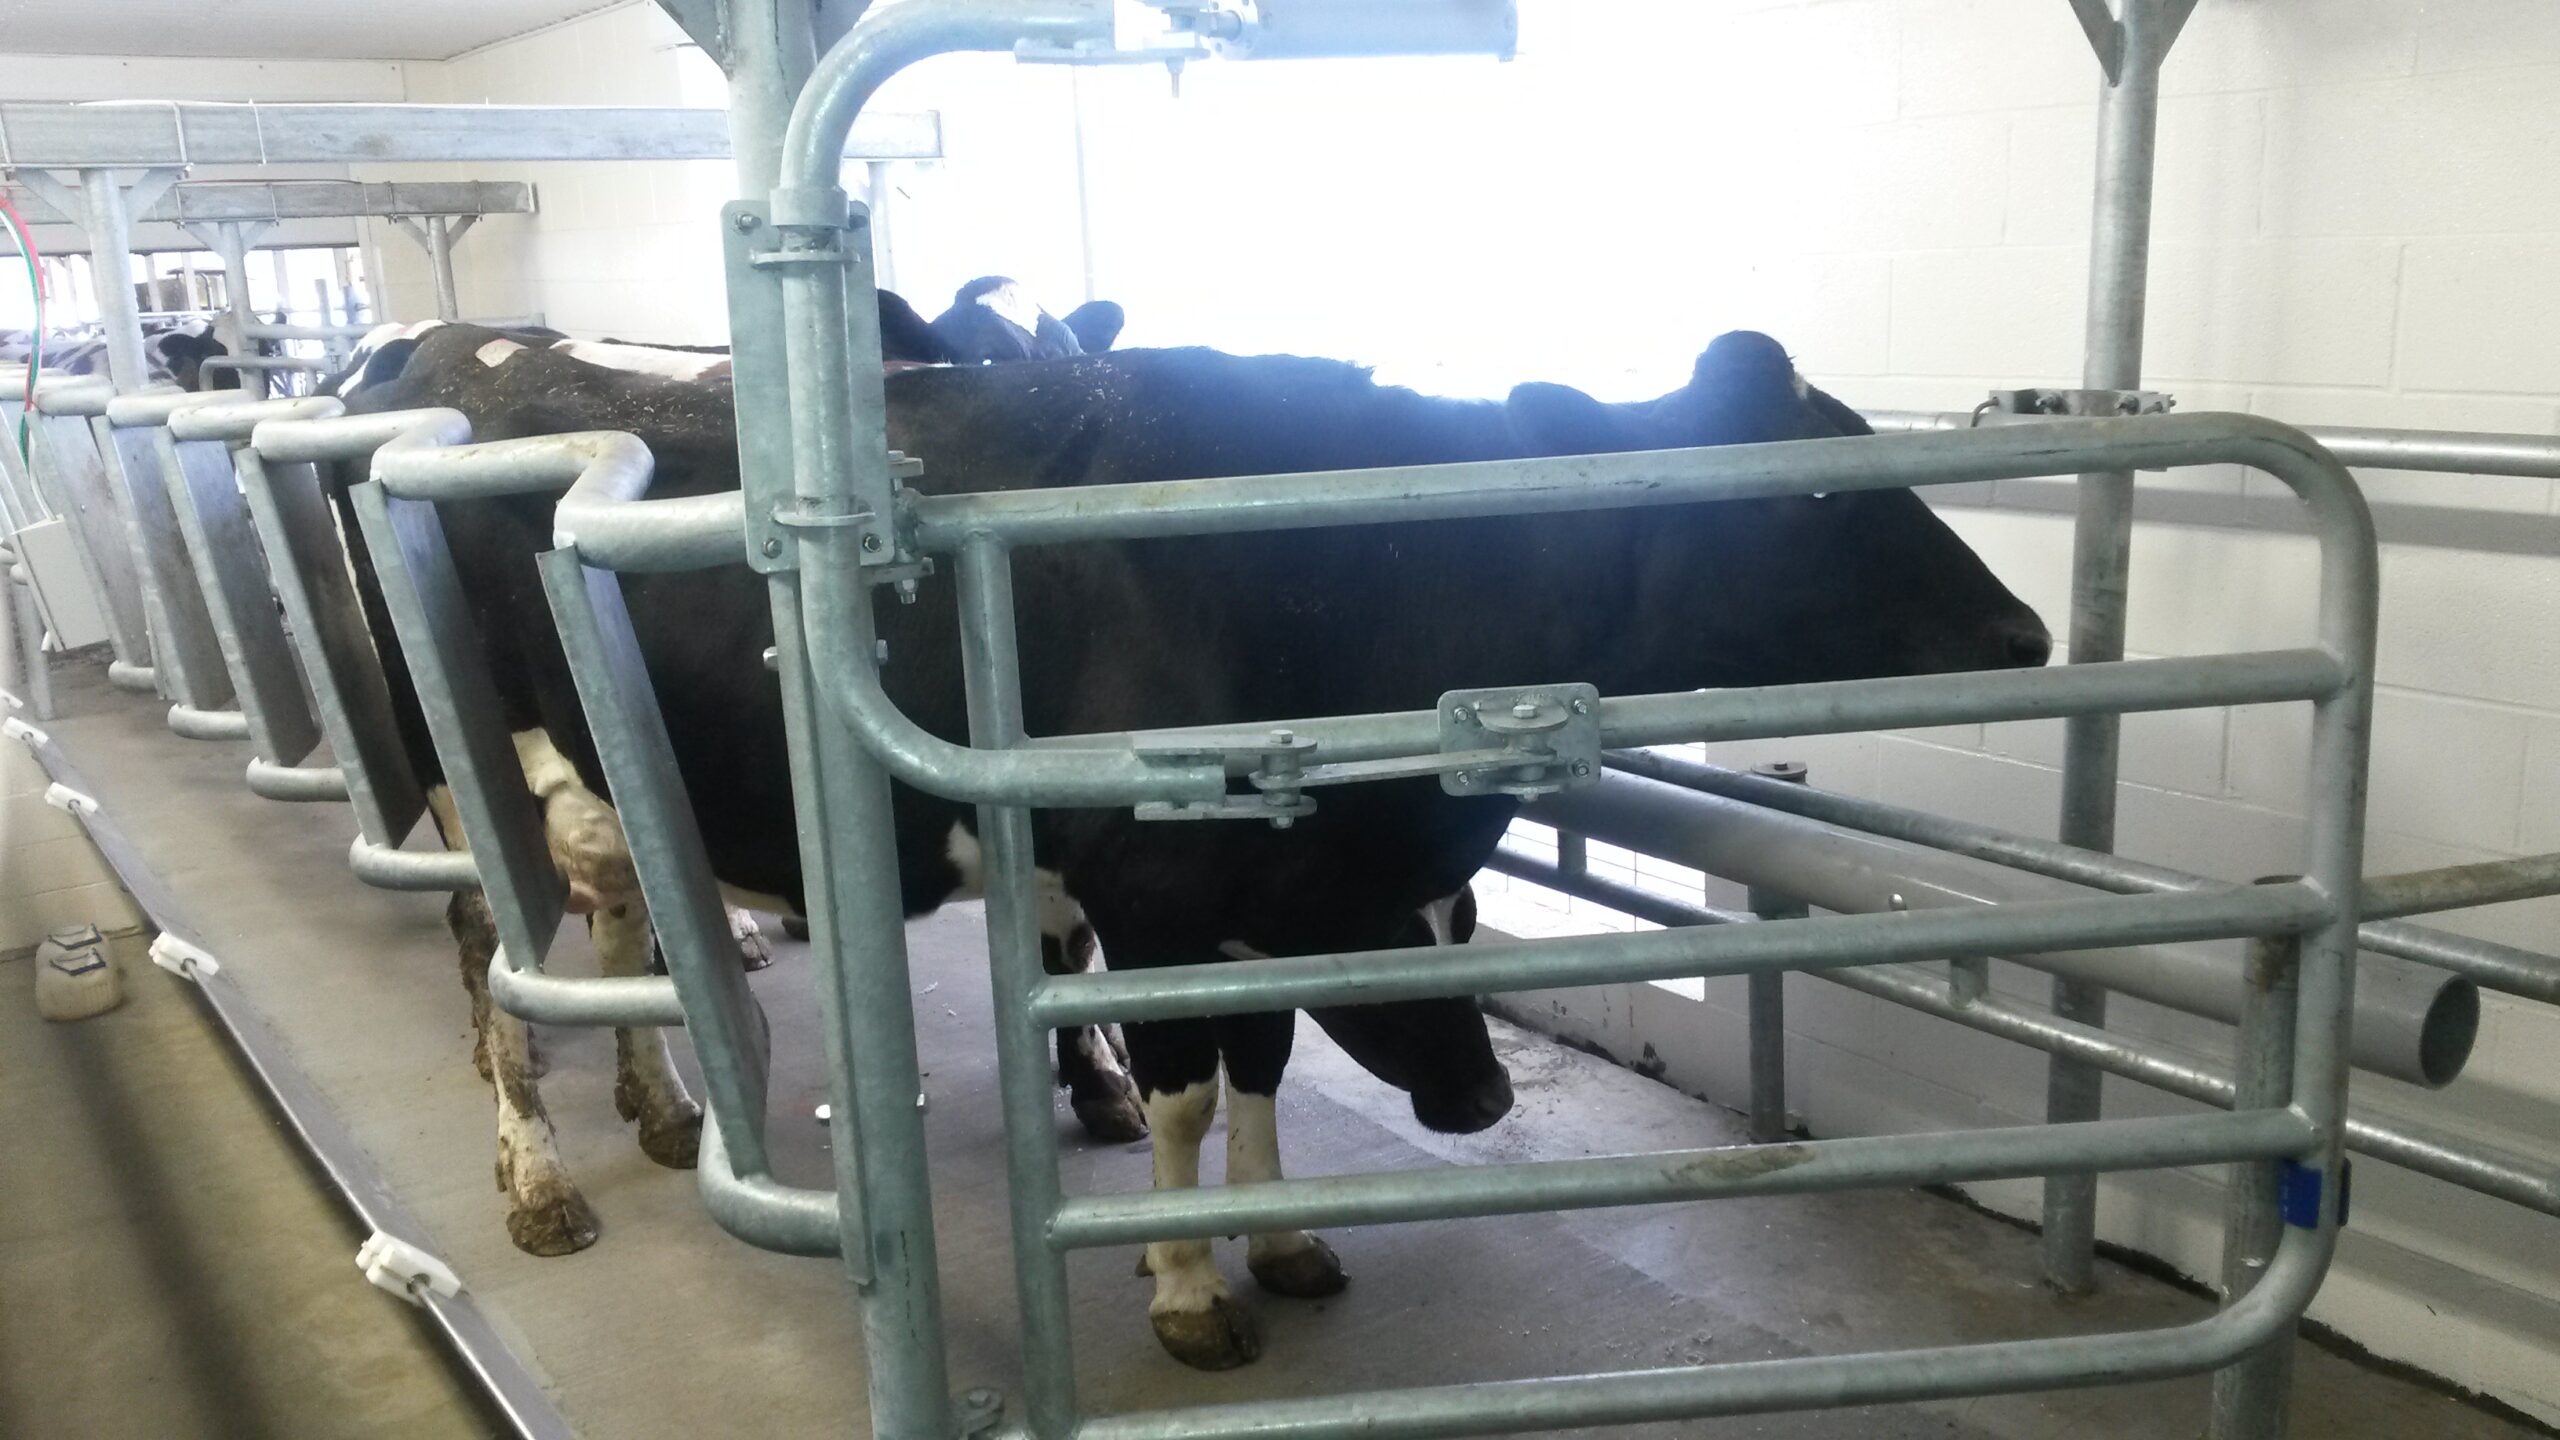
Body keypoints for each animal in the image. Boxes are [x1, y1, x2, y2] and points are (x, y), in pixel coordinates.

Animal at [327, 323, 2048, 1366]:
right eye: (1815, 499)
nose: (2026, 633)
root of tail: (436, 353)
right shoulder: (1156, 892)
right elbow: (1181, 1092)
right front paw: (1186, 1287)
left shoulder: (1259, 902)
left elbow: (1264, 1063)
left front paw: (1280, 1243)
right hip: (454, 764)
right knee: (488, 962)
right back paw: (538, 1176)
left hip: (612, 777)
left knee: (616, 909)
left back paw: (662, 1105)